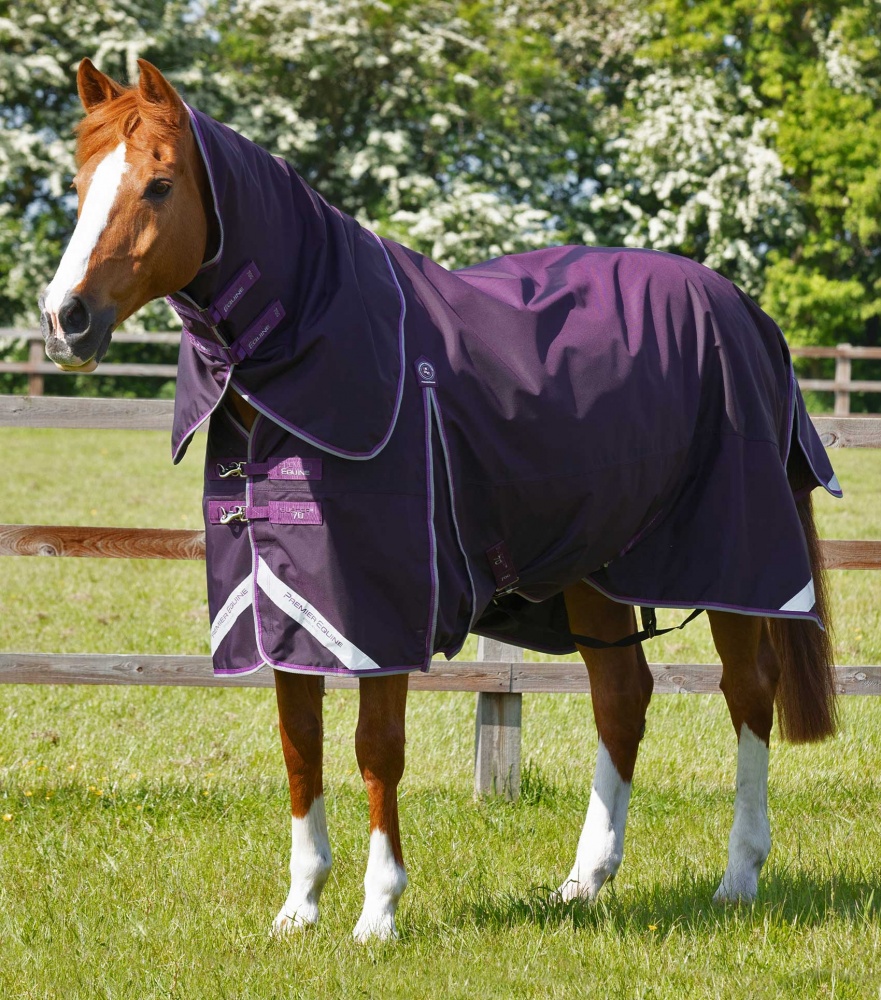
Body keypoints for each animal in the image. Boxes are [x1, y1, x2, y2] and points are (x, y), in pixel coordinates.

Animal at [39, 58, 840, 942]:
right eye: (78, 184)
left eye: (158, 184)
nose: (65, 318)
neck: (328, 349)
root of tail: (748, 312)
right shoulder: (283, 604)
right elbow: (300, 743)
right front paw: (299, 907)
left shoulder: (374, 613)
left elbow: (375, 746)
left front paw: (377, 912)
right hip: (593, 567)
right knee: (621, 697)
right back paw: (584, 880)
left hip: (734, 563)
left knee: (748, 692)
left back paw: (738, 876)